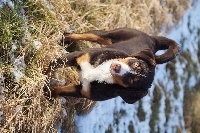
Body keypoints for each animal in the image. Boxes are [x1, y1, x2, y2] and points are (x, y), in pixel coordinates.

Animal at [44, 27, 180, 103]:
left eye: (132, 80)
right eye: (136, 64)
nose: (117, 67)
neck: (102, 72)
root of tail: (154, 41)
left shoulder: (83, 91)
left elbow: (60, 90)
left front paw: (48, 94)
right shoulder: (77, 57)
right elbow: (53, 65)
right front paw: (42, 74)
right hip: (109, 34)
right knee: (88, 35)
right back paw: (65, 38)